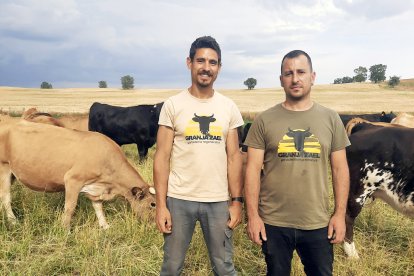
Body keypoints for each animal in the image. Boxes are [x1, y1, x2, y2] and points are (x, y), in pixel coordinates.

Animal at [0, 120, 154, 229]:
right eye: (153, 204)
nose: (157, 226)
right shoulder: (73, 180)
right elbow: (70, 207)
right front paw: (65, 229)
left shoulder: (96, 188)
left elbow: (98, 207)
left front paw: (105, 226)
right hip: (4, 168)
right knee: (6, 197)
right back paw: (13, 221)